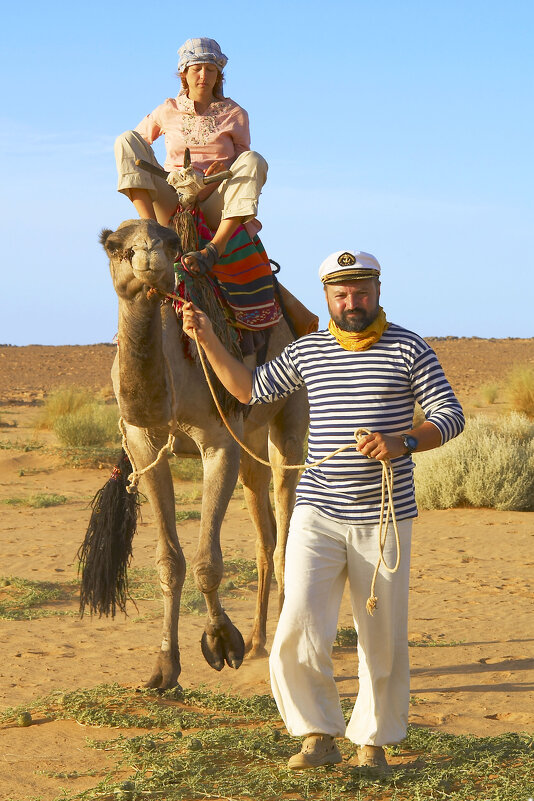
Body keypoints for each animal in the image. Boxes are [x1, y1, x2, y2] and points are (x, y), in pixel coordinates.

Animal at [89, 217, 308, 688]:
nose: (149, 256)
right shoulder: (144, 446)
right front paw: (164, 668)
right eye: (114, 246)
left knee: (284, 529)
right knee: (264, 533)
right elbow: (170, 561)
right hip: (251, 441)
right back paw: (260, 641)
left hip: (290, 419)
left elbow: (208, 560)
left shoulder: (218, 441)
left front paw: (222, 641)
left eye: (173, 244)